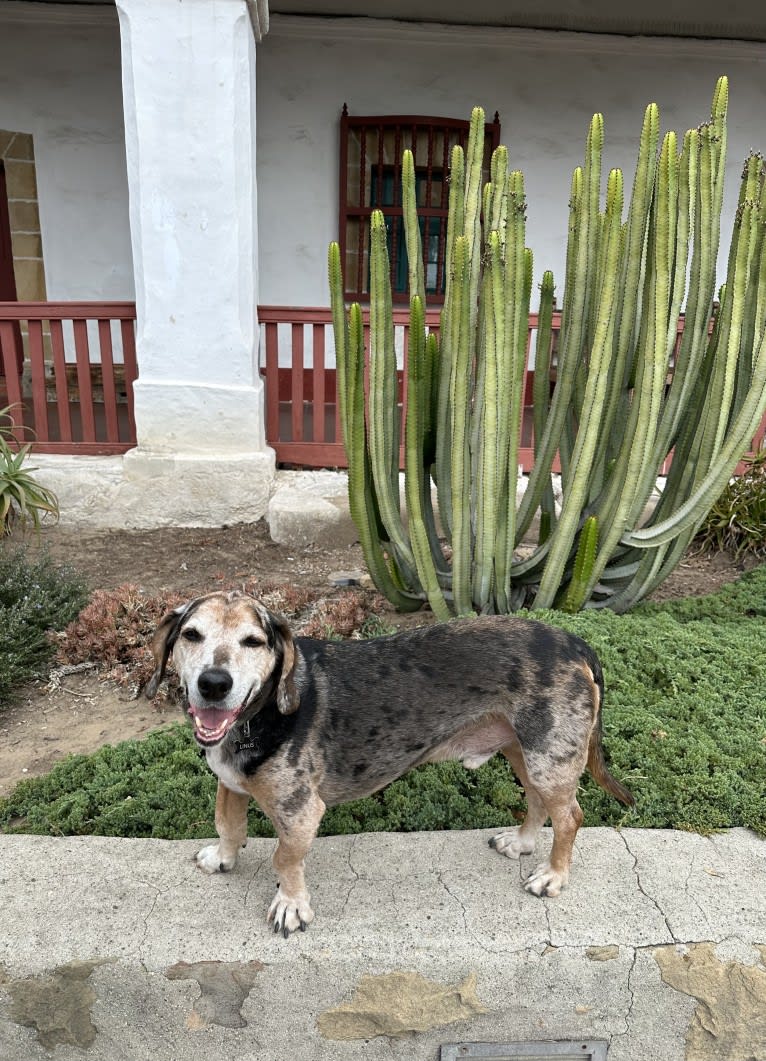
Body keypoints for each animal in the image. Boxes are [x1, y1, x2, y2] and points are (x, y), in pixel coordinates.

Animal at [146, 589, 628, 937]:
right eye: (192, 635)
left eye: (253, 641)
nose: (213, 684)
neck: (258, 714)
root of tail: (574, 642)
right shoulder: (230, 784)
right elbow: (228, 824)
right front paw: (222, 857)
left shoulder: (301, 813)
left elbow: (284, 858)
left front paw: (291, 904)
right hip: (524, 751)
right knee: (538, 801)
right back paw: (523, 842)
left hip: (550, 756)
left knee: (570, 817)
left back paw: (553, 875)